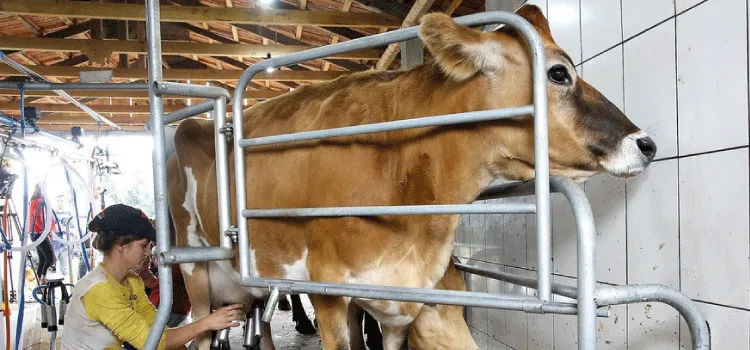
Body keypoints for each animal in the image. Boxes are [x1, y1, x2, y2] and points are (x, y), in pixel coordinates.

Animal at [169, 6, 656, 350]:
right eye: (559, 73)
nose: (647, 143)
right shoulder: (327, 289)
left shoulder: (401, 300)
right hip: (194, 265)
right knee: (198, 330)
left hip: (243, 284)